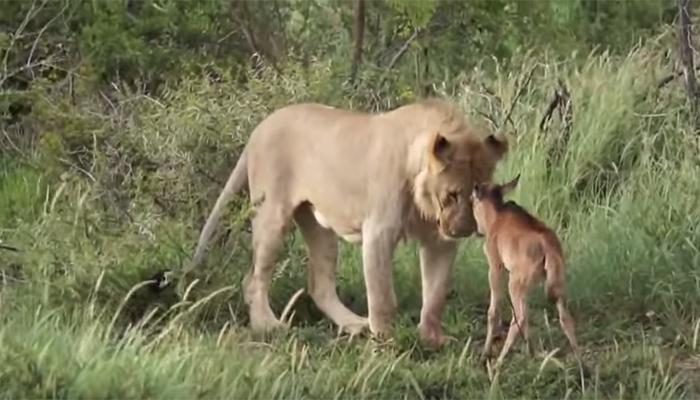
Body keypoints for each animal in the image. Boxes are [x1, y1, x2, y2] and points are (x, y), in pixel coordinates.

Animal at [187, 98, 508, 346]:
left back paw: (355, 324)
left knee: (319, 284)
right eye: (452, 194)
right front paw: (387, 340)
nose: (464, 230)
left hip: (320, 227)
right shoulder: (379, 231)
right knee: (254, 278)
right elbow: (382, 295)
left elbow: (436, 293)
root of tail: (260, 127)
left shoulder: (439, 240)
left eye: (478, 194)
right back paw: (268, 326)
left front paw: (432, 339)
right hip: (271, 216)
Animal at [470, 175, 580, 368]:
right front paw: (530, 352)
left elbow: (493, 312)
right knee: (565, 318)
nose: (477, 230)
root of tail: (548, 247)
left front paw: (485, 354)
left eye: (472, 201)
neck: (496, 216)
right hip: (554, 284)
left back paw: (499, 361)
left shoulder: (495, 267)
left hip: (515, 283)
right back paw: (582, 364)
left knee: (518, 318)